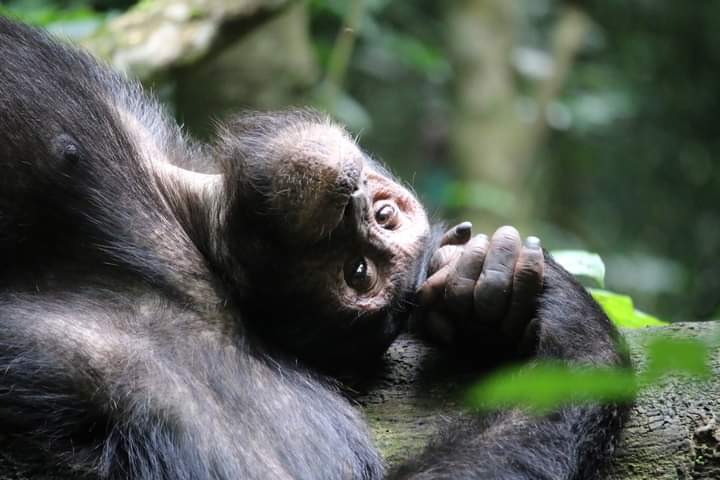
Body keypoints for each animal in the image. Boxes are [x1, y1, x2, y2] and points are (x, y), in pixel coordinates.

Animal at [0, 16, 629, 479]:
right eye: (385, 217)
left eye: (358, 272)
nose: (356, 203)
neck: (187, 233)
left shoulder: (241, 398)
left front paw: (555, 310)